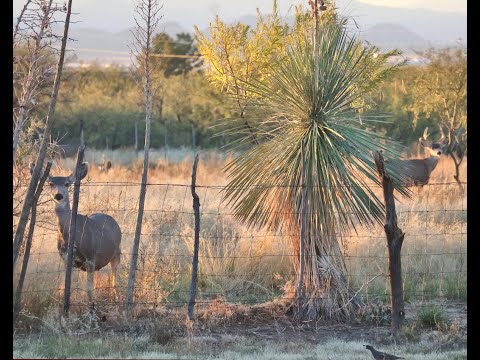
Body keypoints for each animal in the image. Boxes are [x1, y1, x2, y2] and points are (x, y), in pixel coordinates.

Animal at [31, 162, 122, 306]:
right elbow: (67, 288)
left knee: (114, 278)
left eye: (67, 183)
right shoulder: (66, 260)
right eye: (50, 183)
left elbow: (89, 289)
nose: (58, 195)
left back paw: (117, 299)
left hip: (117, 252)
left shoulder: (90, 257)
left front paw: (92, 309)